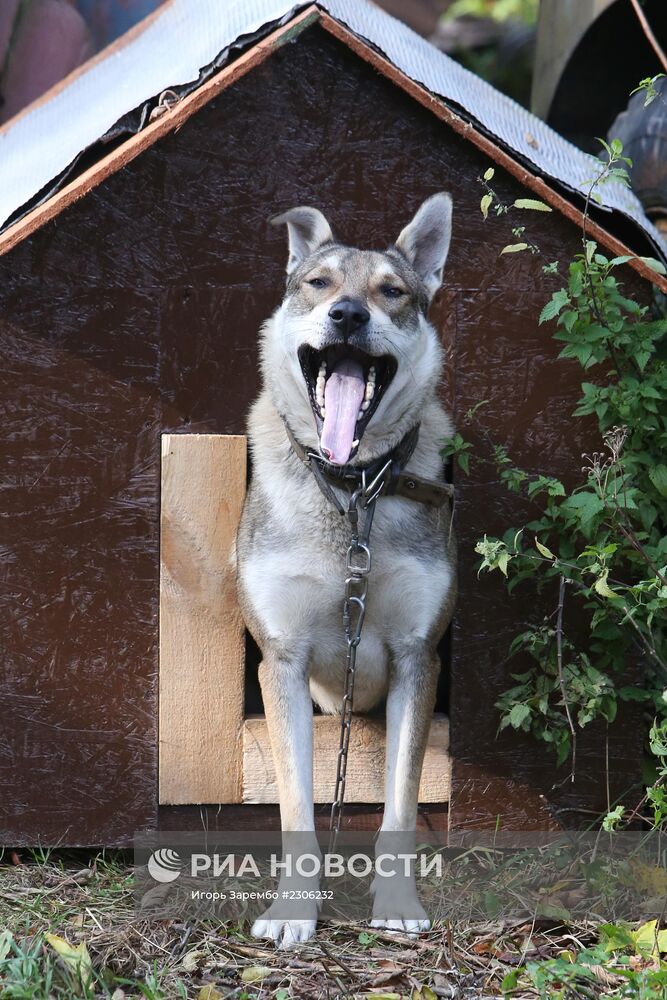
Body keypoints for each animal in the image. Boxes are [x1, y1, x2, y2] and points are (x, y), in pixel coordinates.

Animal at [236, 193, 460, 944]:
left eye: (392, 293)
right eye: (318, 283)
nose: (348, 316)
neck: (351, 486)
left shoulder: (418, 655)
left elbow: (399, 804)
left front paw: (396, 904)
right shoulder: (281, 658)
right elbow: (297, 807)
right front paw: (292, 913)